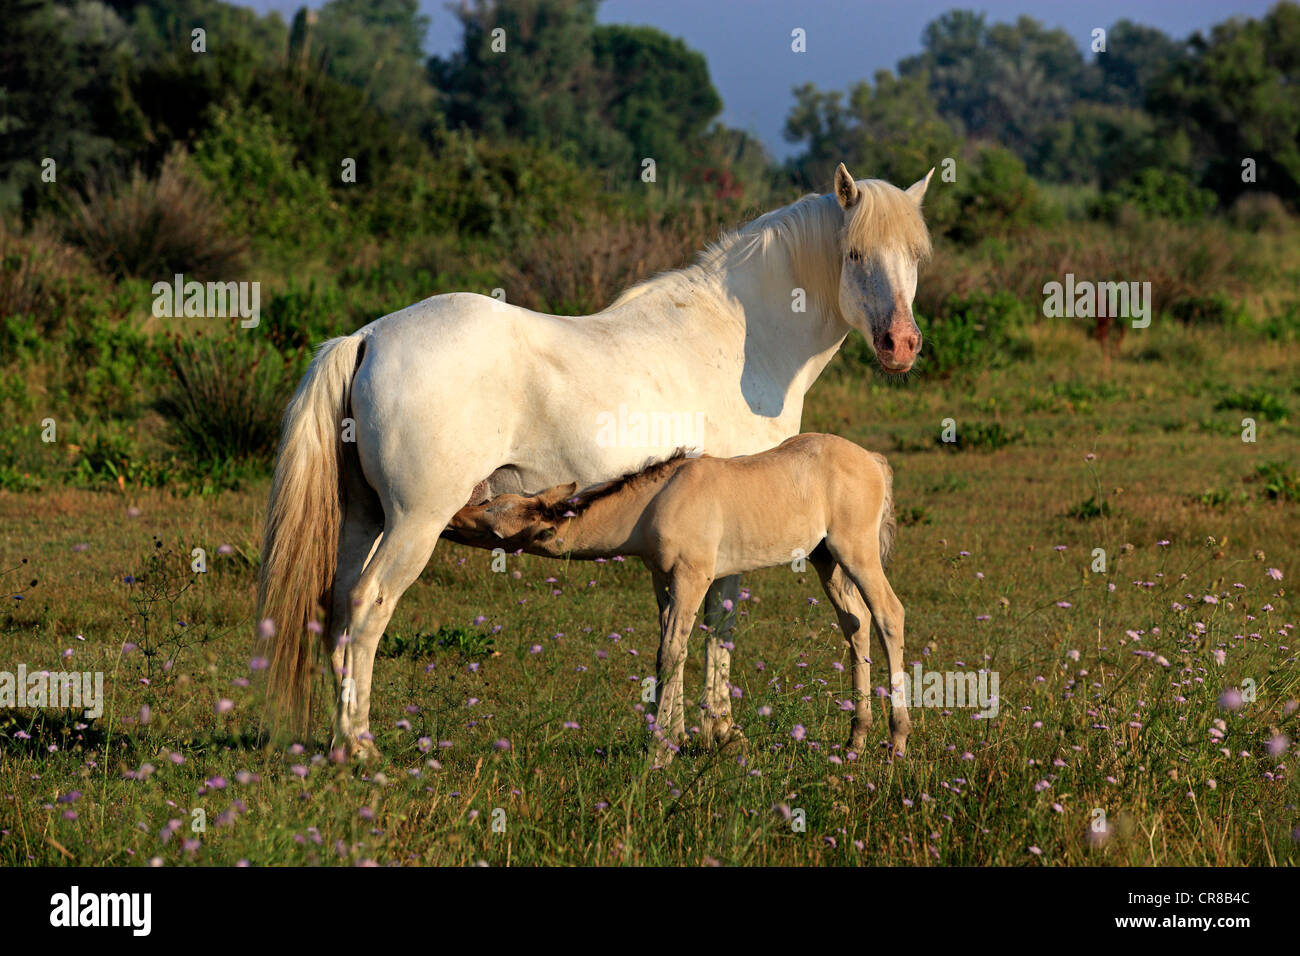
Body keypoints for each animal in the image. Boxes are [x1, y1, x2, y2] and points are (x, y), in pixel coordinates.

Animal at [441, 434, 909, 764]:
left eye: (494, 525)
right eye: (492, 500)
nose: (449, 518)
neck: (655, 501)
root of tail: (874, 460)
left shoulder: (692, 577)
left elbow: (671, 654)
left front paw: (657, 753)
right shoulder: (662, 580)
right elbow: (670, 653)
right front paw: (676, 739)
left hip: (856, 552)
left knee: (889, 614)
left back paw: (897, 740)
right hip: (825, 558)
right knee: (855, 624)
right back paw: (855, 739)